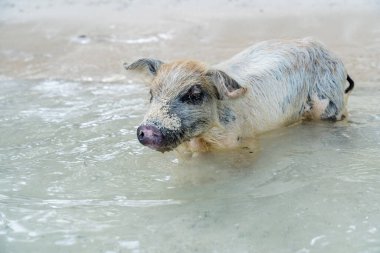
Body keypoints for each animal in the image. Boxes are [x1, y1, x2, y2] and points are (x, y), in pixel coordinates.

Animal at [124, 37, 354, 152]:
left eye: (194, 94)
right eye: (152, 94)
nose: (147, 130)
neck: (203, 140)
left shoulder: (243, 140)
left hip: (330, 103)